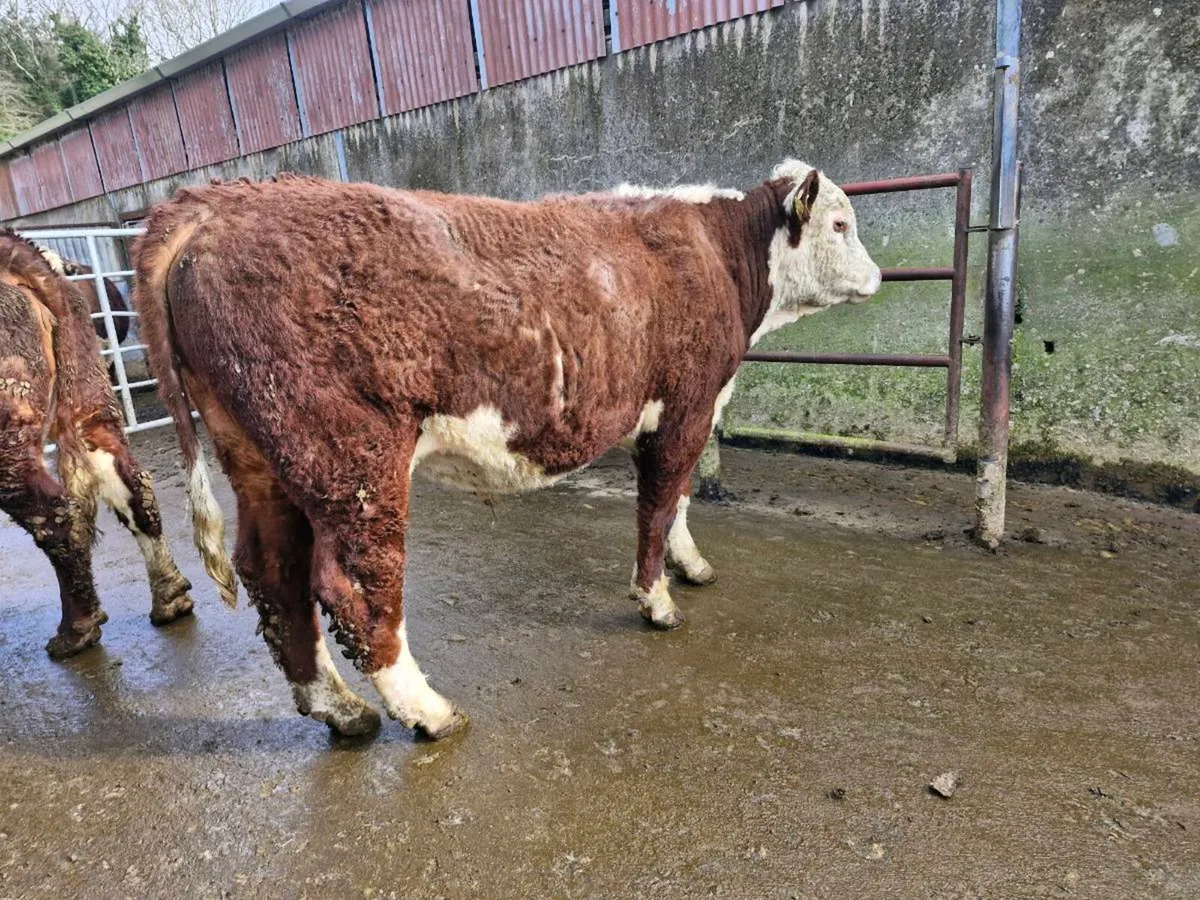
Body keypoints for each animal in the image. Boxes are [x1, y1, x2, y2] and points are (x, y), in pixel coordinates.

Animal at [133, 160, 881, 740]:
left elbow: (680, 499)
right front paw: (657, 600)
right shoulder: (685, 405)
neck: (716, 251)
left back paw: (340, 710)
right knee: (355, 587)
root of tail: (213, 205)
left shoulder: (688, 410)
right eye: (840, 225)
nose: (877, 277)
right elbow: (659, 501)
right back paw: (428, 711)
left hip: (260, 457)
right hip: (352, 457)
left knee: (272, 571)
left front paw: (689, 563)